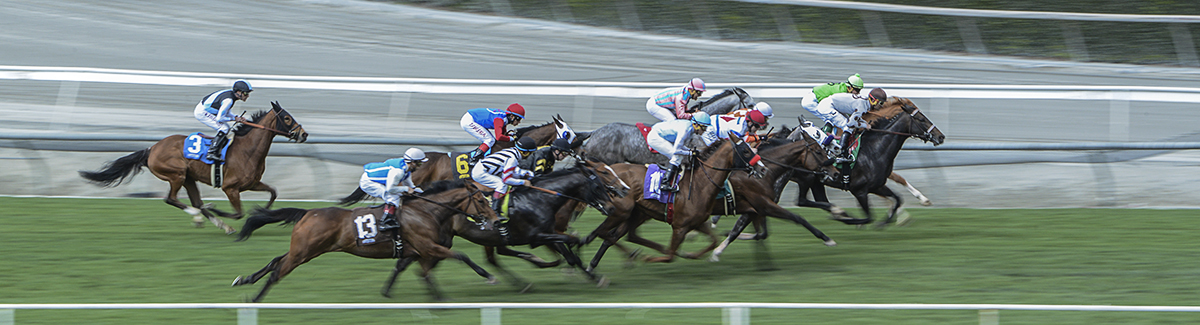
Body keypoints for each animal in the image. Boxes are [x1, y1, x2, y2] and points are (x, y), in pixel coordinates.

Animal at [78, 103, 304, 232]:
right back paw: (199, 214)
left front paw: (264, 213)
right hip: (176, 175)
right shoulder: (230, 188)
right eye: (286, 118)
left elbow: (273, 192)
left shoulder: (252, 184)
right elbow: (238, 213)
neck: (248, 149)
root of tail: (152, 148)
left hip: (188, 178)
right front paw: (218, 210)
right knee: (172, 199)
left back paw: (218, 223)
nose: (304, 134)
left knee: (195, 201)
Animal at [231, 179, 499, 302]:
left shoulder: (421, 251)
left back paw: (245, 279)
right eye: (481, 200)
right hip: (304, 251)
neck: (427, 211)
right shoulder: (428, 247)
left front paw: (438, 298)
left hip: (304, 250)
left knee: (276, 260)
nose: (496, 220)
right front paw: (489, 276)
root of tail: (308, 212)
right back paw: (255, 299)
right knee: (278, 271)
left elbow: (423, 272)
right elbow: (462, 256)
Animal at [787, 98, 945, 227]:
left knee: (820, 200)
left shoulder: (877, 185)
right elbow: (869, 216)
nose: (941, 136)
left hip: (816, 181)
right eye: (921, 119)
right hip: (806, 178)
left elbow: (897, 197)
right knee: (803, 201)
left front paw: (891, 218)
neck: (873, 149)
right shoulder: (859, 190)